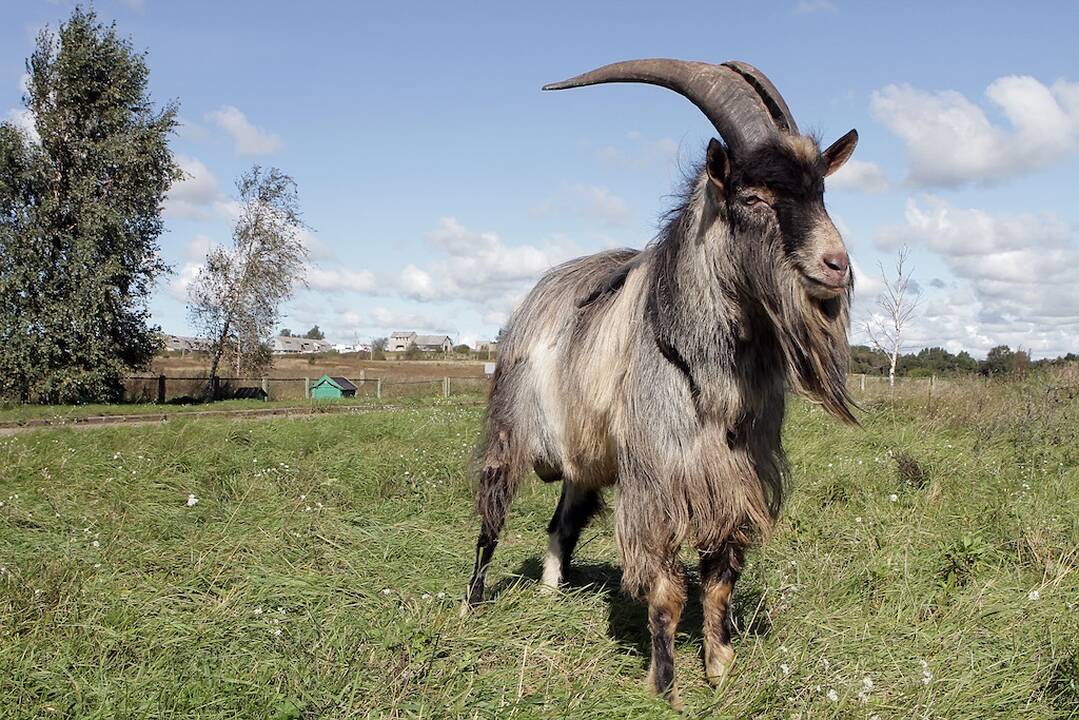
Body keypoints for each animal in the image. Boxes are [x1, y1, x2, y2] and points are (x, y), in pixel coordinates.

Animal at [463, 59, 858, 708]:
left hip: (585, 458)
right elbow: (669, 589)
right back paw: (471, 604)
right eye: (754, 196)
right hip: (508, 433)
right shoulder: (656, 482)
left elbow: (719, 582)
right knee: (490, 521)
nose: (836, 266)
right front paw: (665, 686)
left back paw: (551, 590)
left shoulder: (731, 482)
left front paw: (719, 667)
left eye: (821, 192)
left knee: (561, 523)